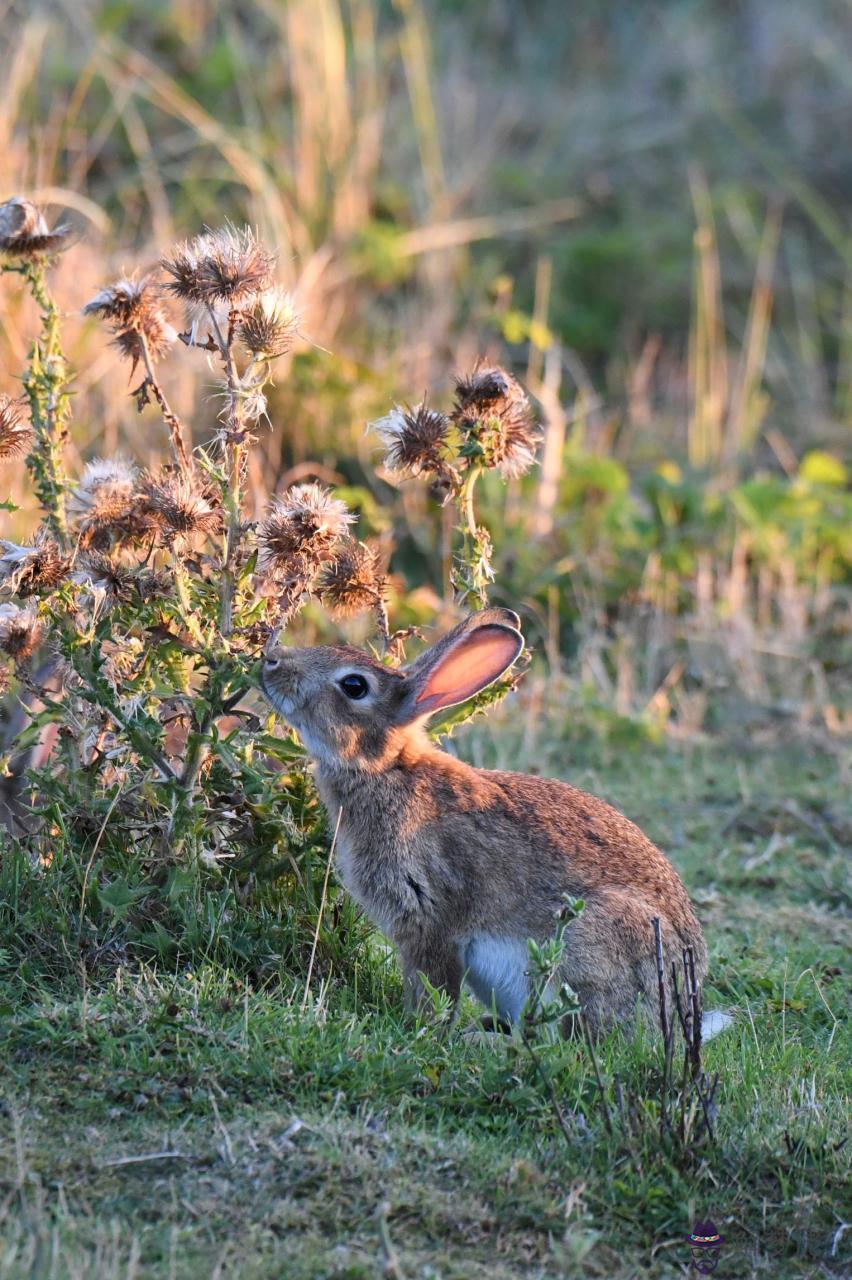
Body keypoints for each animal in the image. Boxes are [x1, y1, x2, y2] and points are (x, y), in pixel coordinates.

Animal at [260, 609, 721, 1039]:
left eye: (354, 686)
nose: (271, 661)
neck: (385, 769)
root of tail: (683, 1015)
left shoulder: (430, 919)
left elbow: (433, 986)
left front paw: (420, 1028)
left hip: (585, 946)